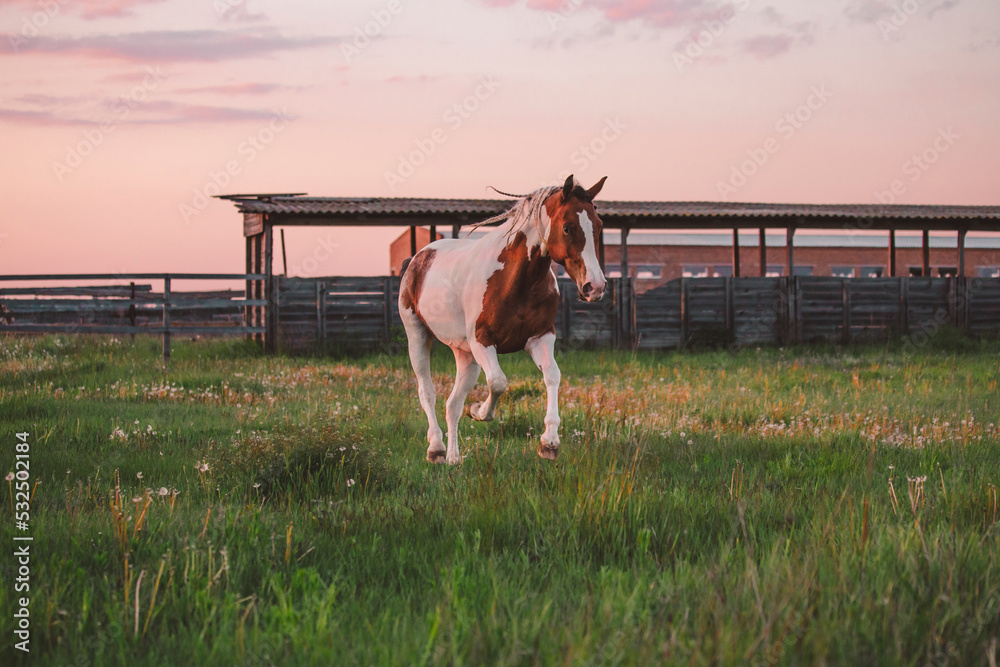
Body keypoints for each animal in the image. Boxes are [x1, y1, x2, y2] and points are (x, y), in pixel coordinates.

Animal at [398, 174, 607, 465]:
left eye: (598, 225)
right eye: (567, 227)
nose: (595, 287)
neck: (515, 279)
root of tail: (416, 259)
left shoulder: (540, 338)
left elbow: (553, 376)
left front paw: (549, 443)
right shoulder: (482, 341)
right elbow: (498, 381)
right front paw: (478, 410)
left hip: (465, 355)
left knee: (452, 404)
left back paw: (453, 458)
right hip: (418, 337)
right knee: (427, 392)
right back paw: (436, 449)